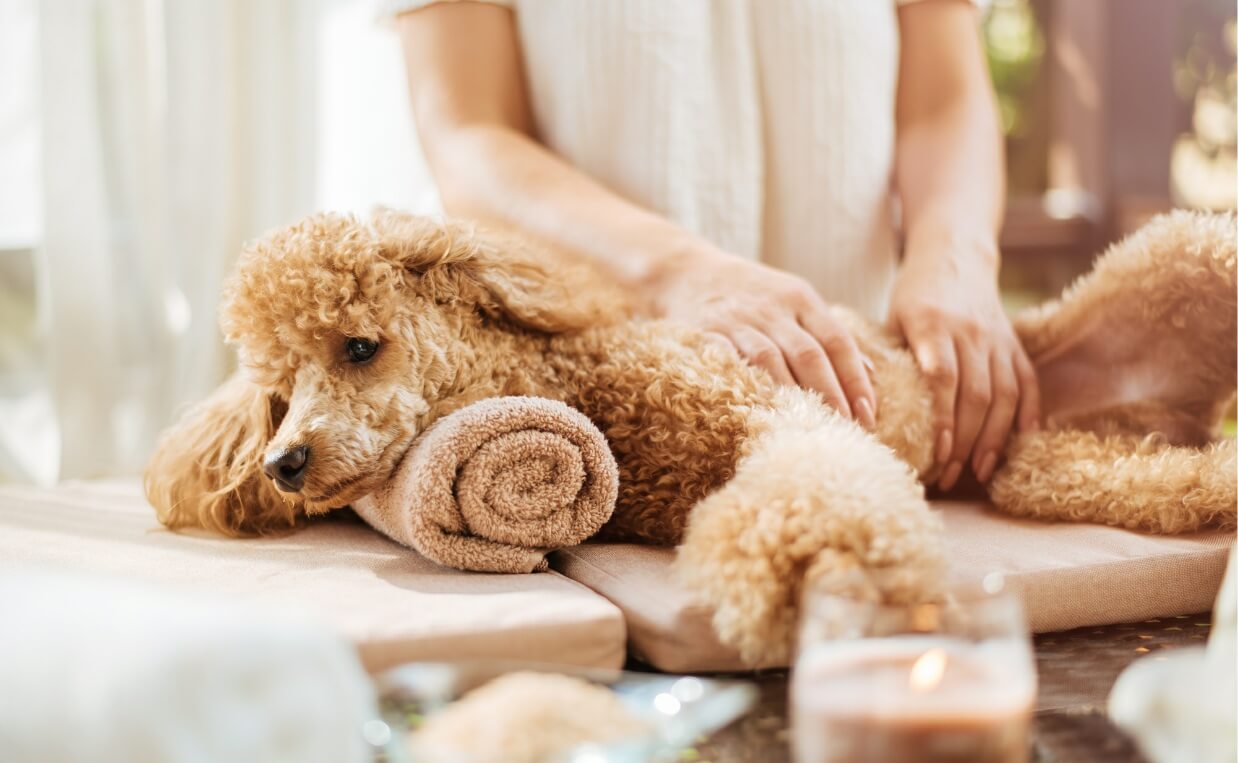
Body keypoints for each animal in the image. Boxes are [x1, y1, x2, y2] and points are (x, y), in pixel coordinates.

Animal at [147, 206, 1238, 663]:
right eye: (279, 387)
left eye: (360, 345)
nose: (285, 461)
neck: (586, 383)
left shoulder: (784, 417)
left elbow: (811, 487)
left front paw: (812, 570)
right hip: (1050, 465)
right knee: (1165, 475)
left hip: (1194, 252)